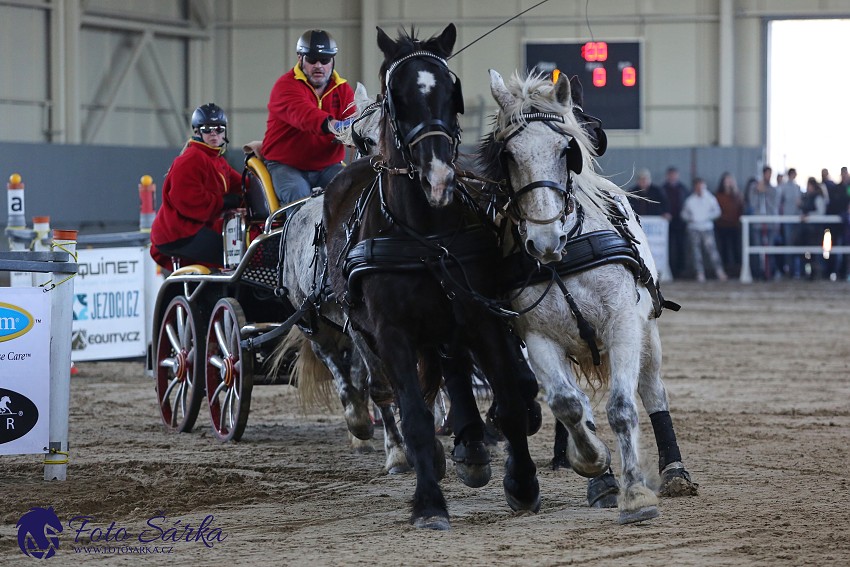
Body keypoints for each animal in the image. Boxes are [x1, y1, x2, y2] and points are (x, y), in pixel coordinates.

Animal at [322, 24, 540, 532]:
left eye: (450, 93)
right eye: (395, 98)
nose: (438, 176)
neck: (425, 233)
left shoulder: (479, 315)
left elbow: (509, 400)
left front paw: (521, 483)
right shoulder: (393, 332)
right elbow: (416, 417)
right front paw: (428, 504)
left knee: (455, 367)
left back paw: (473, 444)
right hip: (368, 333)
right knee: (397, 393)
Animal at [476, 70, 696, 524]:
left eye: (567, 151)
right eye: (508, 155)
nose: (543, 240)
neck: (564, 258)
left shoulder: (624, 325)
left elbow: (622, 407)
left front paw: (636, 495)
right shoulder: (538, 338)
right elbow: (568, 405)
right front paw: (593, 463)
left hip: (649, 337)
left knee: (653, 392)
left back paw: (673, 471)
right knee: (577, 403)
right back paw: (601, 478)